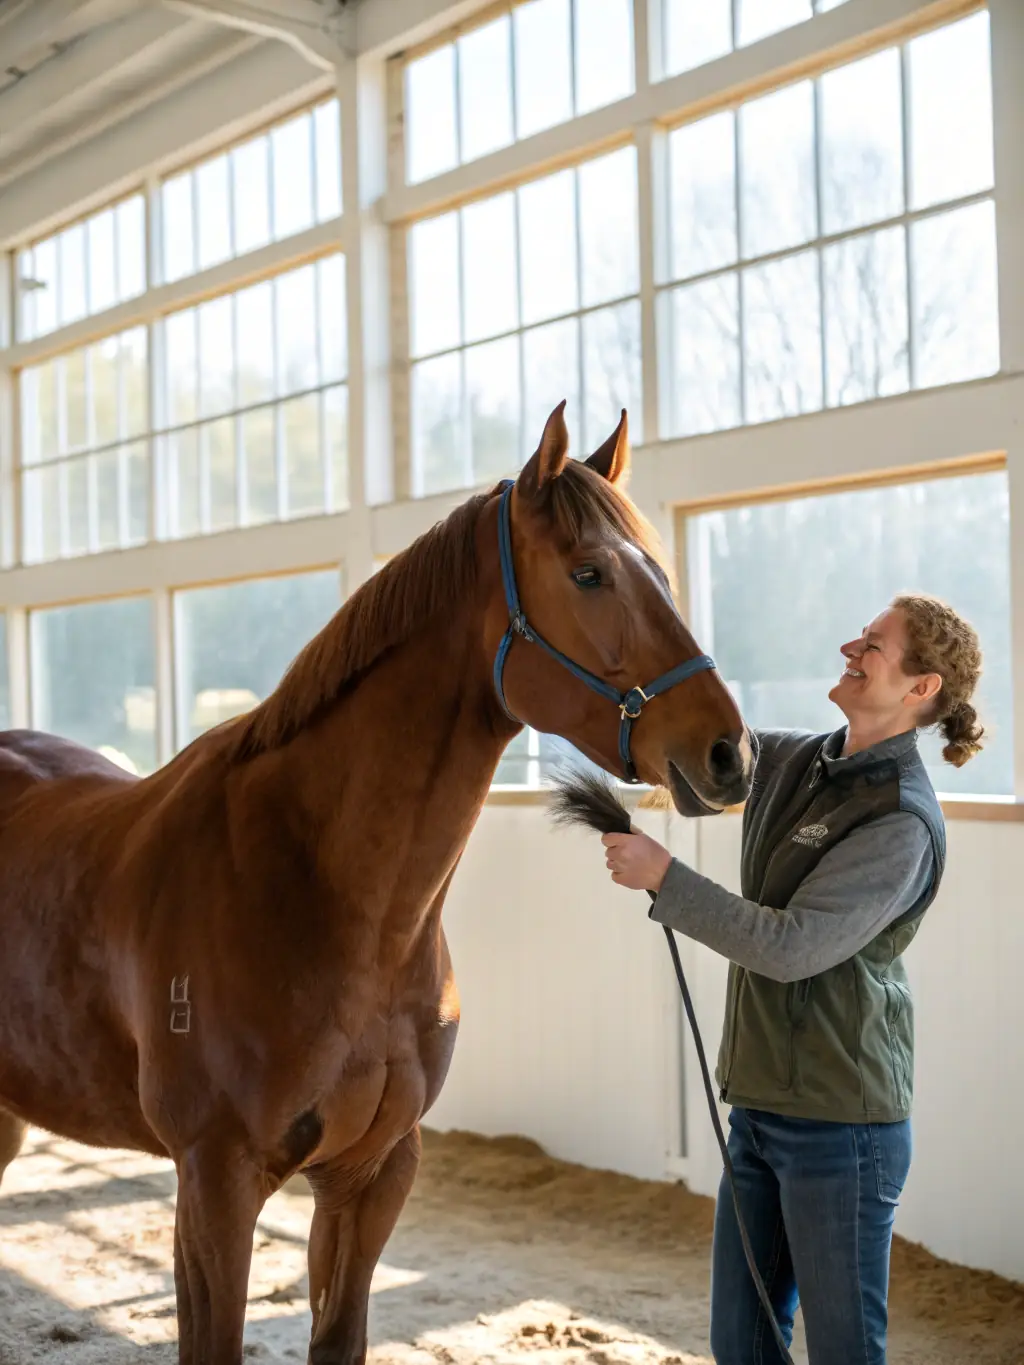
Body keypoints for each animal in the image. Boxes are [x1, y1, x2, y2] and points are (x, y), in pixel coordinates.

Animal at [0, 403, 752, 1365]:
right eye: (589, 573)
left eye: (658, 571)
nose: (731, 753)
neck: (328, 899)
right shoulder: (215, 1181)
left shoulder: (372, 1172)